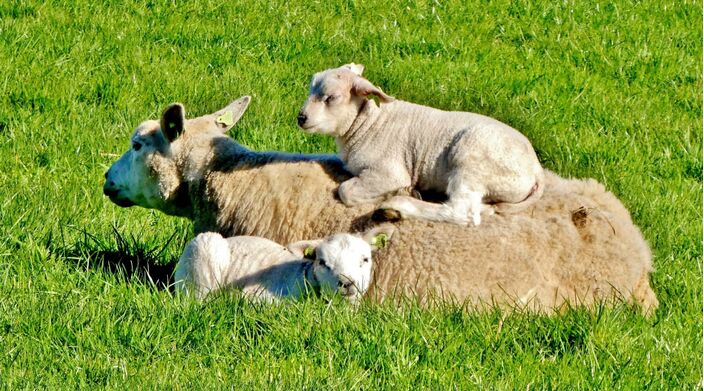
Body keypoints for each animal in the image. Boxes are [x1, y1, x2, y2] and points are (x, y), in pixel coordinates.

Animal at [296, 62, 544, 225]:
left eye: (331, 97)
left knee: (462, 212)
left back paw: (399, 205)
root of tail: (536, 169)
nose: (301, 117)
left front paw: (396, 192)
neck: (367, 125)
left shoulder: (388, 171)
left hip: (472, 161)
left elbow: (345, 190)